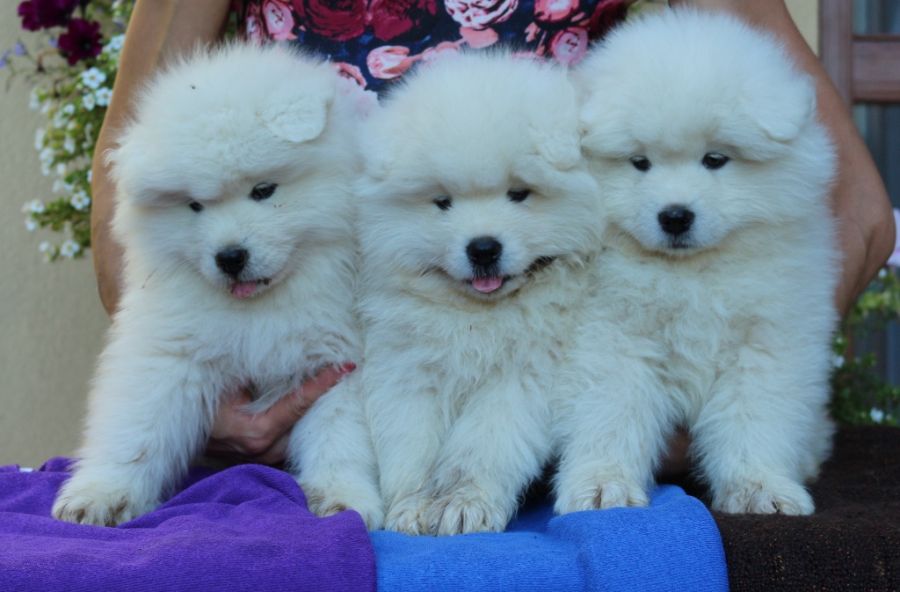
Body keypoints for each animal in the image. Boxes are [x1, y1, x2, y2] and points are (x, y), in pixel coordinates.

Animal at [51, 44, 380, 528]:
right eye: (194, 205)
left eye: (264, 190)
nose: (230, 257)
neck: (260, 307)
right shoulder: (166, 353)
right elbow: (137, 427)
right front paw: (100, 494)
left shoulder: (337, 362)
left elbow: (341, 437)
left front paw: (345, 498)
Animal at [352, 52, 596, 536]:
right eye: (442, 202)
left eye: (519, 193)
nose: (483, 248)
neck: (478, 318)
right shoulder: (407, 370)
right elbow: (411, 445)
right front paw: (412, 507)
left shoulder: (523, 375)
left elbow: (482, 446)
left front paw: (463, 505)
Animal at [556, 10, 844, 520]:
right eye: (639, 162)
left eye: (715, 159)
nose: (675, 216)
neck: (691, 274)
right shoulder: (609, 337)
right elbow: (609, 411)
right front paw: (602, 486)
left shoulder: (766, 341)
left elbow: (756, 417)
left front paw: (761, 487)